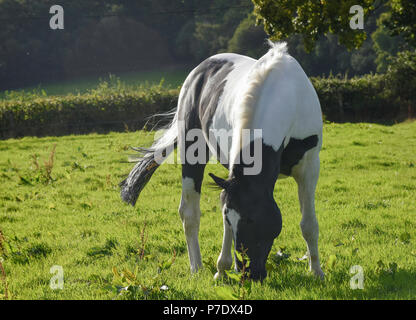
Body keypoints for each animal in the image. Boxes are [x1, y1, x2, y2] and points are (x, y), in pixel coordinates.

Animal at [120, 41, 324, 282]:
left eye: (251, 220)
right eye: (234, 221)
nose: (248, 274)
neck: (285, 97)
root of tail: (198, 71)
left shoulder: (309, 167)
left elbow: (308, 224)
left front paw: (316, 271)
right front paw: (222, 267)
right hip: (193, 152)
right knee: (189, 213)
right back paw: (200, 267)